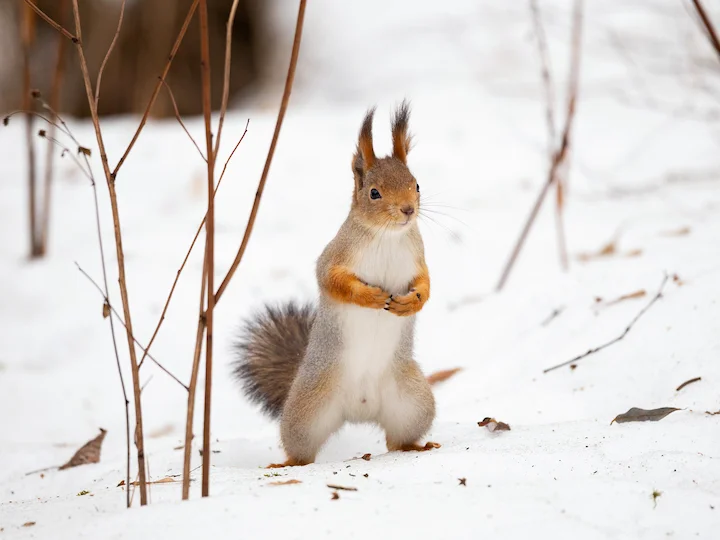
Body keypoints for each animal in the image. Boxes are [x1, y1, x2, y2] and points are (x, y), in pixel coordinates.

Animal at [232, 101, 438, 468]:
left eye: (416, 184)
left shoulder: (418, 259)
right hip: (307, 409)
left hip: (412, 402)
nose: (407, 211)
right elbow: (331, 280)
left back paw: (415, 447)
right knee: (301, 449)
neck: (388, 236)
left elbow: (426, 283)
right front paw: (369, 296)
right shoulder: (335, 256)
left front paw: (412, 301)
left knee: (398, 439)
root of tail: (360, 410)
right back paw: (288, 464)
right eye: (374, 193)